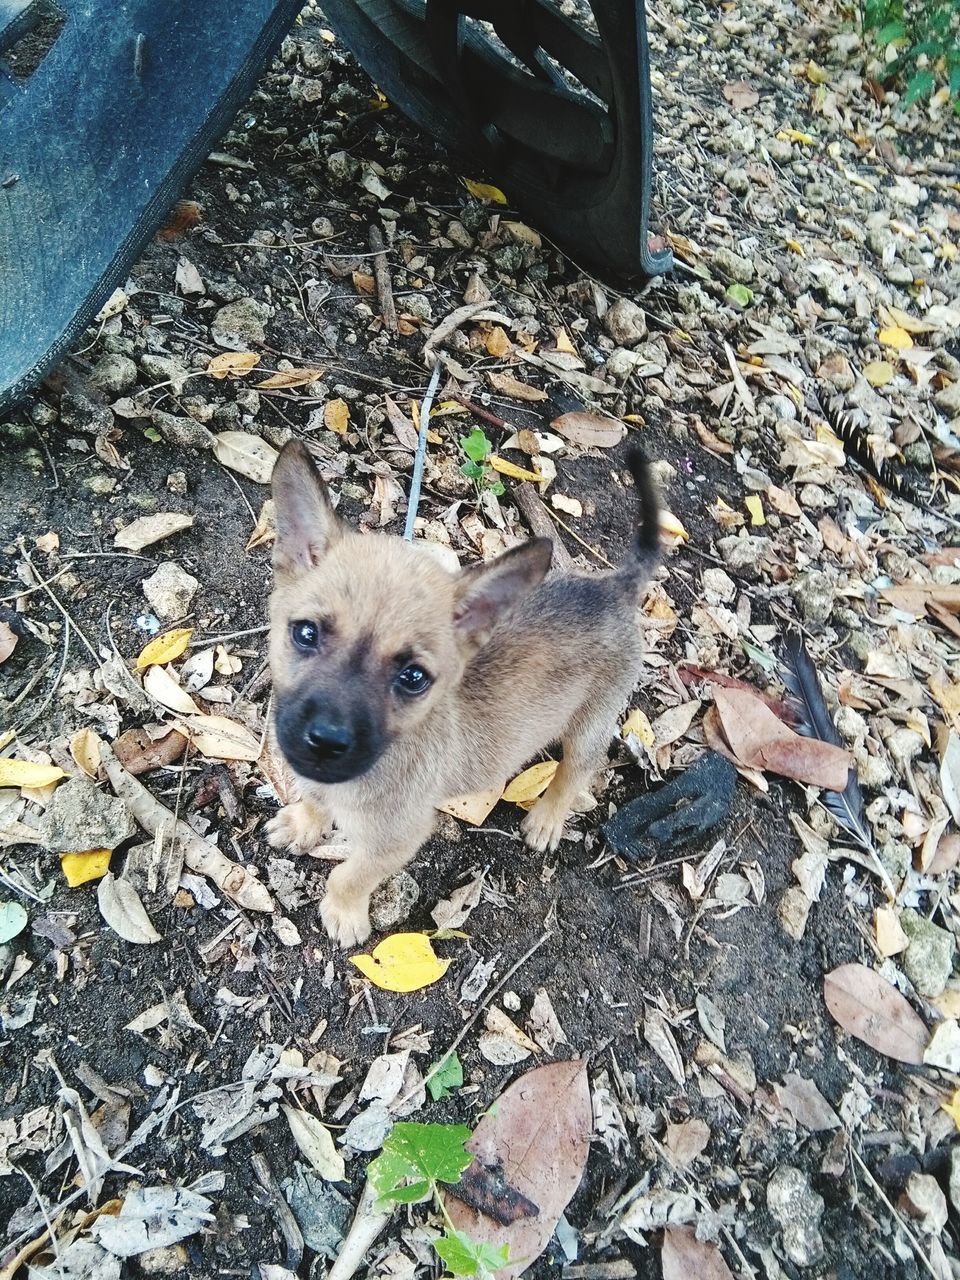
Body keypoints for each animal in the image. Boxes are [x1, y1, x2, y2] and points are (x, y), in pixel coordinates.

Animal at [264, 435, 660, 947]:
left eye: (413, 678)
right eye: (306, 633)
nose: (325, 742)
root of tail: (613, 588)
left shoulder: (397, 839)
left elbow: (349, 875)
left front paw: (344, 912)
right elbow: (313, 799)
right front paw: (304, 823)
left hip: (591, 723)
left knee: (579, 766)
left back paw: (548, 817)